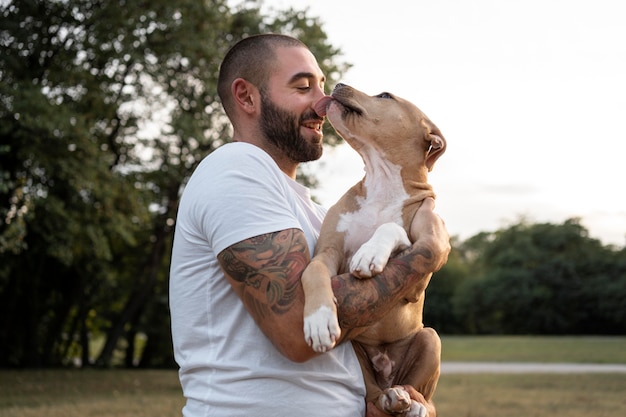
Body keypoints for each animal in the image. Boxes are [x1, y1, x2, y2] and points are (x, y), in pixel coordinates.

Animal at [302, 83, 444, 416]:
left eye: (385, 96)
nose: (337, 84)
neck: (382, 183)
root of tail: (386, 367)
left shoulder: (418, 272)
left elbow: (390, 227)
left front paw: (369, 254)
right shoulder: (327, 252)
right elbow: (313, 272)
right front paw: (318, 320)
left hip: (430, 338)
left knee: (416, 389)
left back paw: (411, 403)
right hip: (356, 352)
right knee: (374, 394)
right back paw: (392, 397)